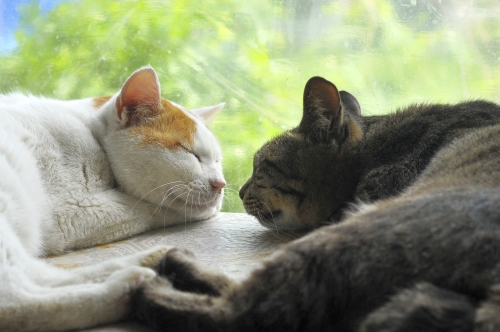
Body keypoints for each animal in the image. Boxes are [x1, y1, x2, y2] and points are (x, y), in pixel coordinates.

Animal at [0, 66, 225, 330]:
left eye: (217, 161)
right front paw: (205, 209)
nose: (221, 184)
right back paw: (122, 287)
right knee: (18, 298)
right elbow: (147, 208)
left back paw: (145, 261)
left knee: (40, 274)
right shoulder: (69, 211)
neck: (92, 136)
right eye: (189, 152)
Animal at [133, 76, 500, 332]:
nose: (238, 191)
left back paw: (156, 279)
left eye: (261, 166)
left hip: (359, 234)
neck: (375, 153)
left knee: (245, 312)